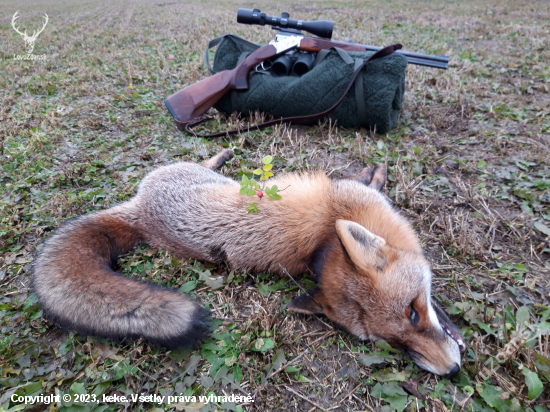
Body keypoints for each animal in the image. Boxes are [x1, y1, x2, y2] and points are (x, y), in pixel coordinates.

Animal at [32, 150, 466, 378]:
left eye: (413, 314)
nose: (453, 370)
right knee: (205, 162)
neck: (325, 240)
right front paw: (377, 171)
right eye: (395, 341)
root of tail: (140, 212)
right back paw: (222, 154)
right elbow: (364, 178)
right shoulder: (353, 192)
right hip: (197, 174)